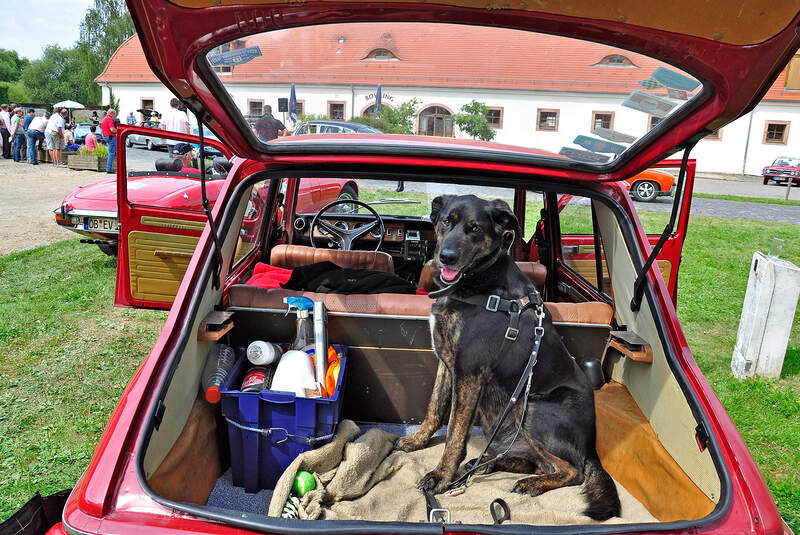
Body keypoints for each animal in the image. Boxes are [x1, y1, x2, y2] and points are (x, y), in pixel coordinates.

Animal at [396, 195, 620, 520]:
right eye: (446, 222)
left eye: (475, 228)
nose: (445, 257)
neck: (479, 281)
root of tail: (591, 448)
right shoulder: (447, 364)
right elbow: (434, 407)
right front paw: (418, 440)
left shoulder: (468, 373)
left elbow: (454, 433)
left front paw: (441, 475)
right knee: (536, 461)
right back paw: (488, 463)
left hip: (533, 410)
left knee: (571, 470)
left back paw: (530, 482)